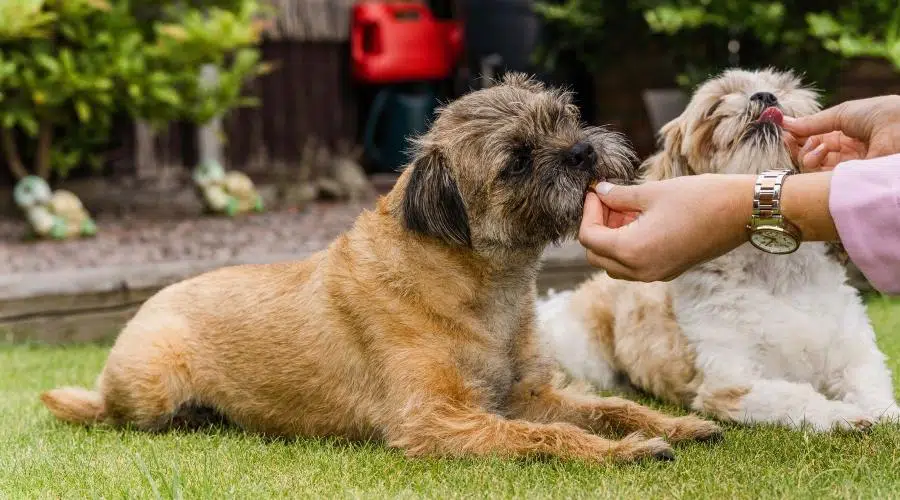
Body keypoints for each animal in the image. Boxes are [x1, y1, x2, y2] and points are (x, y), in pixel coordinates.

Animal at [40, 73, 716, 460]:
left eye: (565, 119)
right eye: (518, 160)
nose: (582, 151)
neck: (477, 283)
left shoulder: (527, 395)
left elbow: (612, 407)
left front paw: (673, 425)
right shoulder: (441, 421)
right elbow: (550, 437)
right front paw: (623, 452)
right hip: (154, 379)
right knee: (115, 414)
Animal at [536, 68, 896, 432]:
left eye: (785, 91)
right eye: (715, 106)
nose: (765, 96)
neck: (774, 273)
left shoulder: (856, 355)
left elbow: (871, 384)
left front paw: (884, 413)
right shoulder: (733, 385)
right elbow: (796, 395)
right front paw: (844, 415)